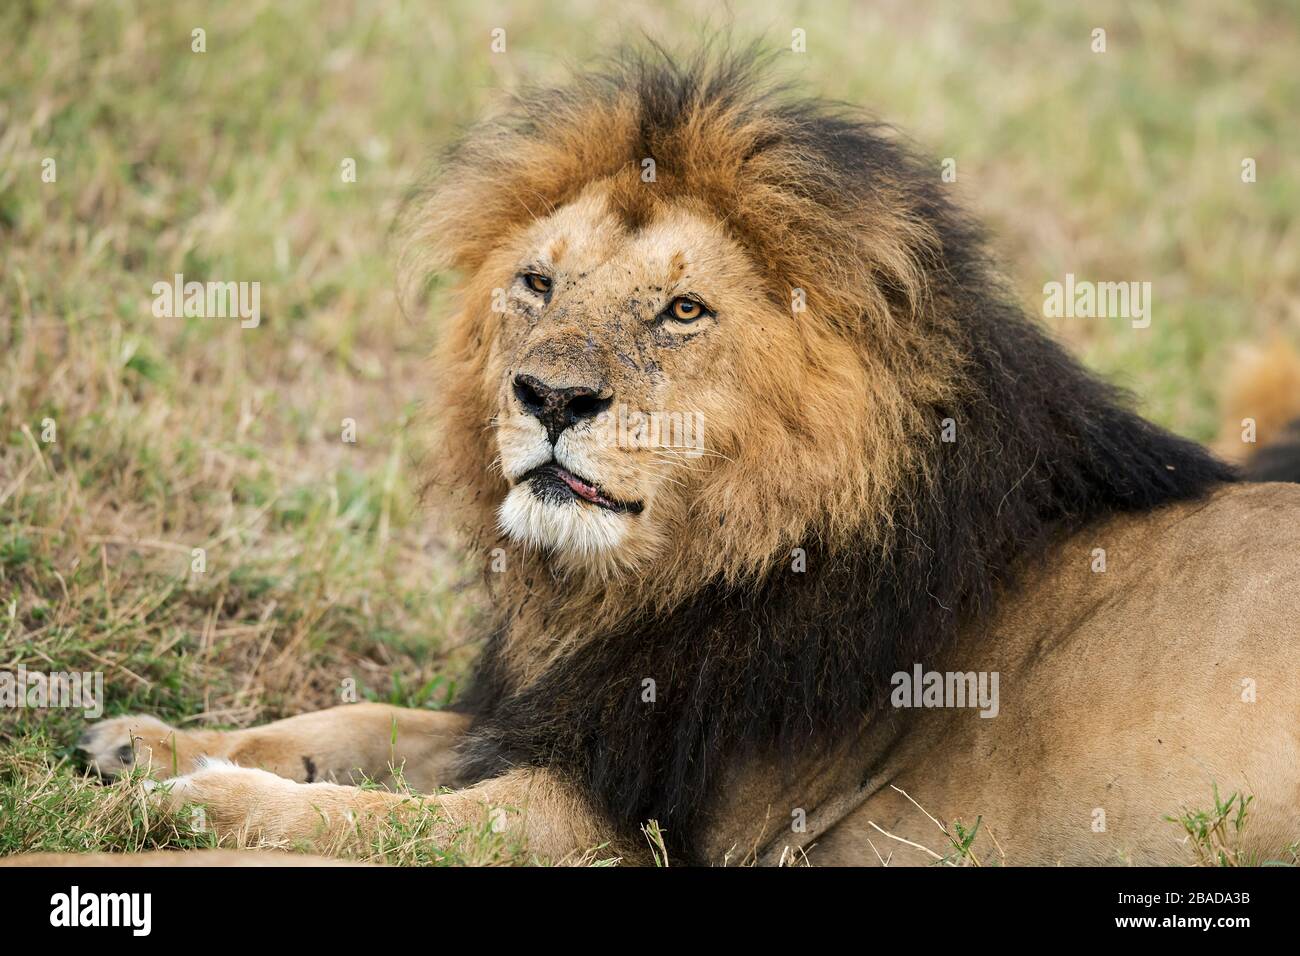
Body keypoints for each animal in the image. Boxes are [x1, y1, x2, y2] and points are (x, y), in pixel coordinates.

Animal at [68, 46, 1300, 868]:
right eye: (538, 282)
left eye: (681, 310)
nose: (552, 397)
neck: (672, 577)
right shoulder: (582, 717)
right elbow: (357, 724)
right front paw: (144, 742)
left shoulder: (623, 828)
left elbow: (366, 820)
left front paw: (182, 802)